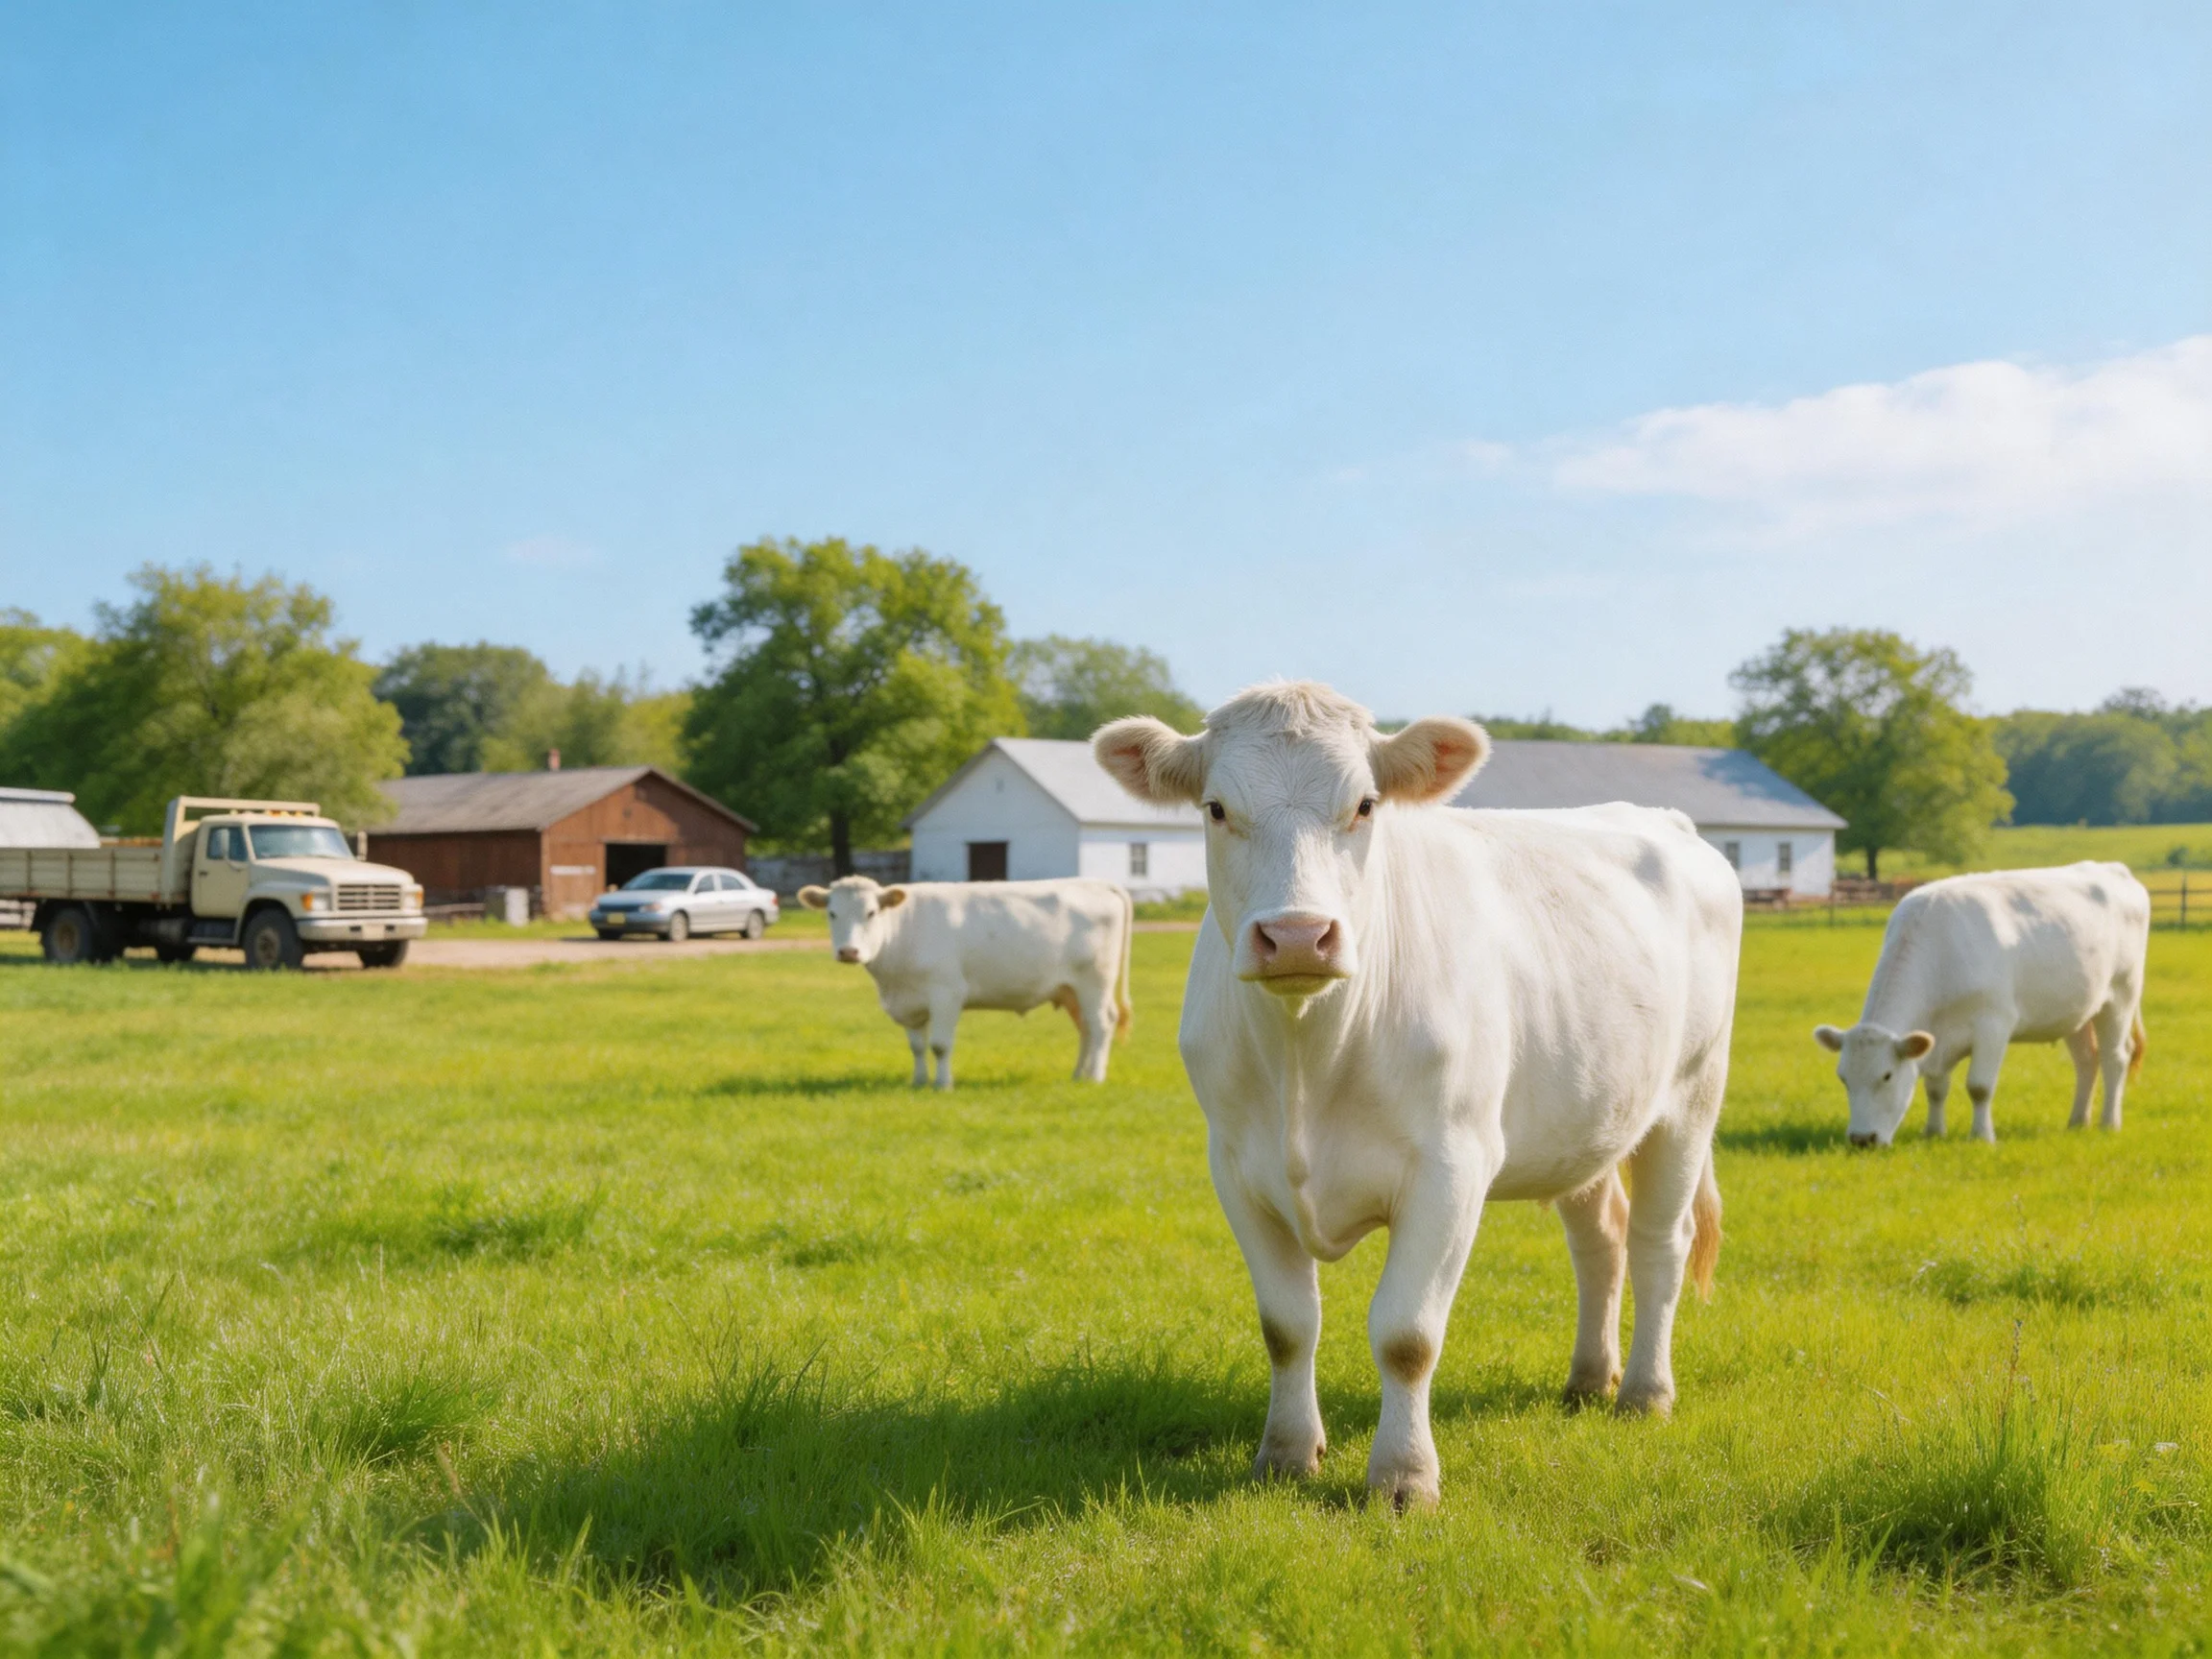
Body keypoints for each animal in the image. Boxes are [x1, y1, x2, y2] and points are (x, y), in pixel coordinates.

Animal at [797, 876, 1134, 1088]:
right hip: (1070, 989)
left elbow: (939, 1045)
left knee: (1102, 1024)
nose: (848, 951)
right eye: (831, 913)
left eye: (871, 912)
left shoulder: (947, 994)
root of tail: (1095, 882)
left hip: (1095, 981)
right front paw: (918, 1081)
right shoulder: (908, 1003)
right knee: (1085, 1027)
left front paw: (942, 1084)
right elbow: (917, 1047)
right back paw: (1079, 1075)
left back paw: (1096, 1077)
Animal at [1094, 681, 1741, 1509]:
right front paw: (1286, 1453)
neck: (1308, 1052)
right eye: (1215, 808)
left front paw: (1403, 1477)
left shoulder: (1453, 1165)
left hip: (1691, 1096)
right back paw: (1589, 1379)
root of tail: (1662, 819)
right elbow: (1287, 1325)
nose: (1298, 935)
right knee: (1601, 1239)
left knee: (1661, 1243)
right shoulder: (1237, 1169)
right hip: (1587, 1116)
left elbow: (1406, 1335)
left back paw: (1644, 1393)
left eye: (1366, 805)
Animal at [1814, 862, 2150, 1147]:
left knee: (2115, 1058)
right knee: (2087, 1060)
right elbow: (1936, 1087)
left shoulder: (1994, 1024)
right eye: (1843, 1077)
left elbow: (1979, 1086)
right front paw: (1933, 1132)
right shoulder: (1936, 1039)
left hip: (2121, 994)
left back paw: (2109, 1123)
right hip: (2076, 1010)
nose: (1862, 1139)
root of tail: (2115, 869)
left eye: (1886, 1075)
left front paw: (1982, 1137)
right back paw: (2077, 1122)